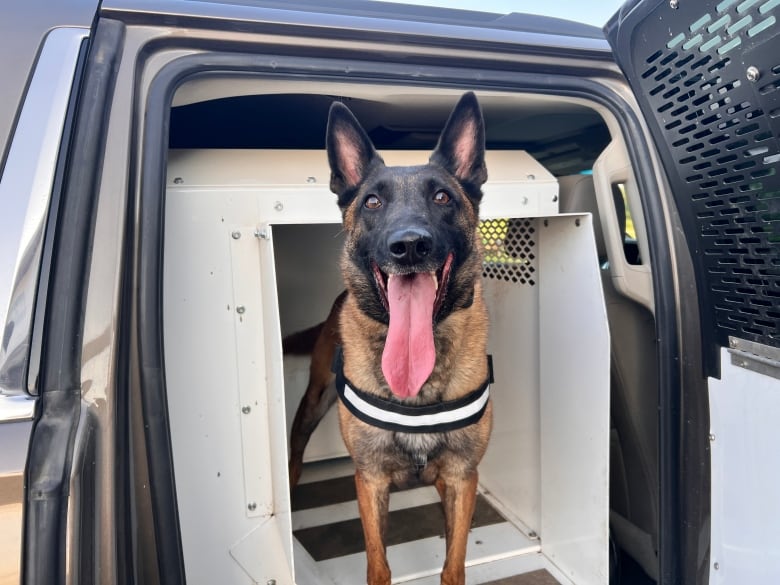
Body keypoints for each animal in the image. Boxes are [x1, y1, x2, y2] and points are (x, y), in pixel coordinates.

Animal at [286, 92, 494, 584]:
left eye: (442, 196)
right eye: (373, 202)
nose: (410, 245)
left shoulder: (463, 478)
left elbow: (454, 564)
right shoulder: (370, 480)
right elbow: (378, 566)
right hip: (316, 397)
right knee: (297, 443)